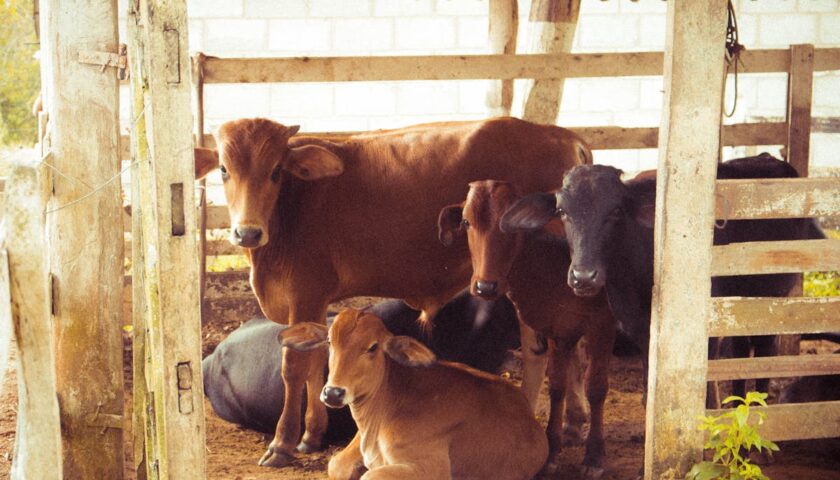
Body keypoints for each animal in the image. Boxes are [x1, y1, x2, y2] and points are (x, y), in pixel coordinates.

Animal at [278, 310, 548, 478]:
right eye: (329, 342)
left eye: (373, 347)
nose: (333, 393)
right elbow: (336, 464)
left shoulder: (430, 467)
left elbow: (370, 476)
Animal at [440, 180, 616, 476]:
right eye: (466, 222)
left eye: (511, 224)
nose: (485, 286)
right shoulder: (558, 327)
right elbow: (556, 385)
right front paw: (552, 450)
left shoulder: (602, 324)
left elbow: (596, 387)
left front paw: (593, 456)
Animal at [502, 155, 824, 402]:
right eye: (562, 211)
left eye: (616, 210)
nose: (583, 276)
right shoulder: (640, 332)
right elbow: (649, 394)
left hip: (771, 298)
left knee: (764, 351)